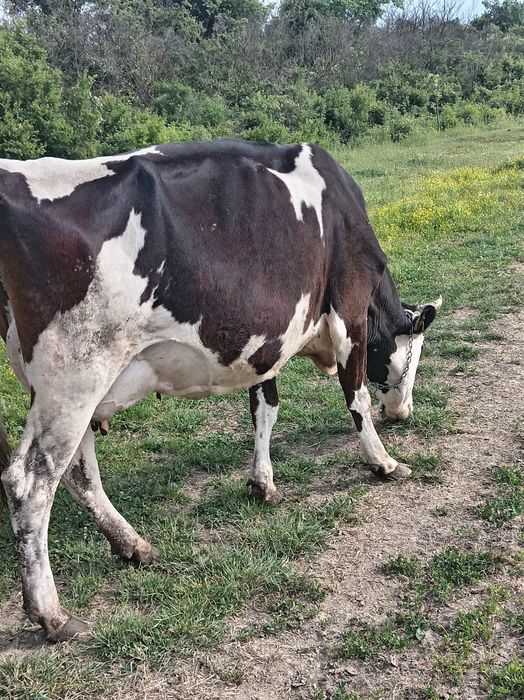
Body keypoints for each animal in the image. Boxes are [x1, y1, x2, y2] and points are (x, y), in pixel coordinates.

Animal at [0, 139, 440, 641]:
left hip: (68, 386)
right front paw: (383, 462)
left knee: (78, 469)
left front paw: (262, 483)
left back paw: (133, 546)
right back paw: (51, 614)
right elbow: (357, 398)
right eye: (413, 358)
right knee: (29, 481)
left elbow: (265, 407)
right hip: (76, 371)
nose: (404, 413)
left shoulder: (270, 338)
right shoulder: (348, 310)